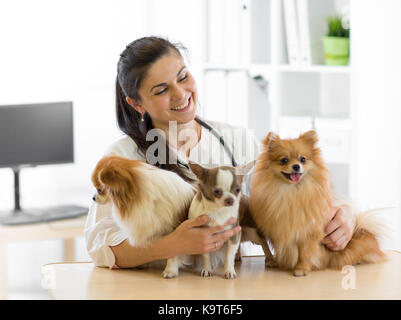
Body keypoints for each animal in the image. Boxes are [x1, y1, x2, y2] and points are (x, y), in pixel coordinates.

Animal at [248, 129, 386, 276]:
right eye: (284, 160)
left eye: (303, 159)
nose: (296, 166)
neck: (291, 193)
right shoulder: (279, 229)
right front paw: (276, 261)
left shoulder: (309, 233)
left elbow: (304, 253)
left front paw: (301, 268)